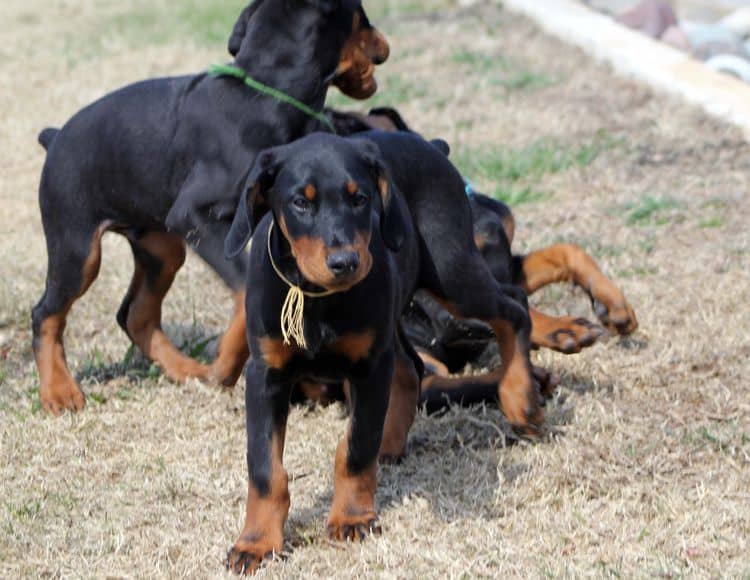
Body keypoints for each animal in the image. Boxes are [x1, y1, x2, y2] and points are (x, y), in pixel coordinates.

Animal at [31, 1, 390, 416]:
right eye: (363, 18)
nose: (385, 45)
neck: (264, 96)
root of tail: (55, 137)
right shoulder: (196, 216)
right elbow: (244, 286)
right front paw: (228, 365)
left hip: (161, 247)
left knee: (135, 314)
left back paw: (187, 371)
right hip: (77, 248)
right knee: (45, 314)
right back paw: (59, 391)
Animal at [223, 130, 540, 572]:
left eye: (360, 199)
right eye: (300, 202)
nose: (345, 262)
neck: (319, 300)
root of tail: (431, 145)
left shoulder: (367, 368)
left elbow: (355, 450)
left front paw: (352, 518)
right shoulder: (266, 375)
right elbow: (265, 468)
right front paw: (256, 542)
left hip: (451, 270)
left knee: (514, 306)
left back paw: (520, 400)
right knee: (410, 367)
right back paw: (390, 443)